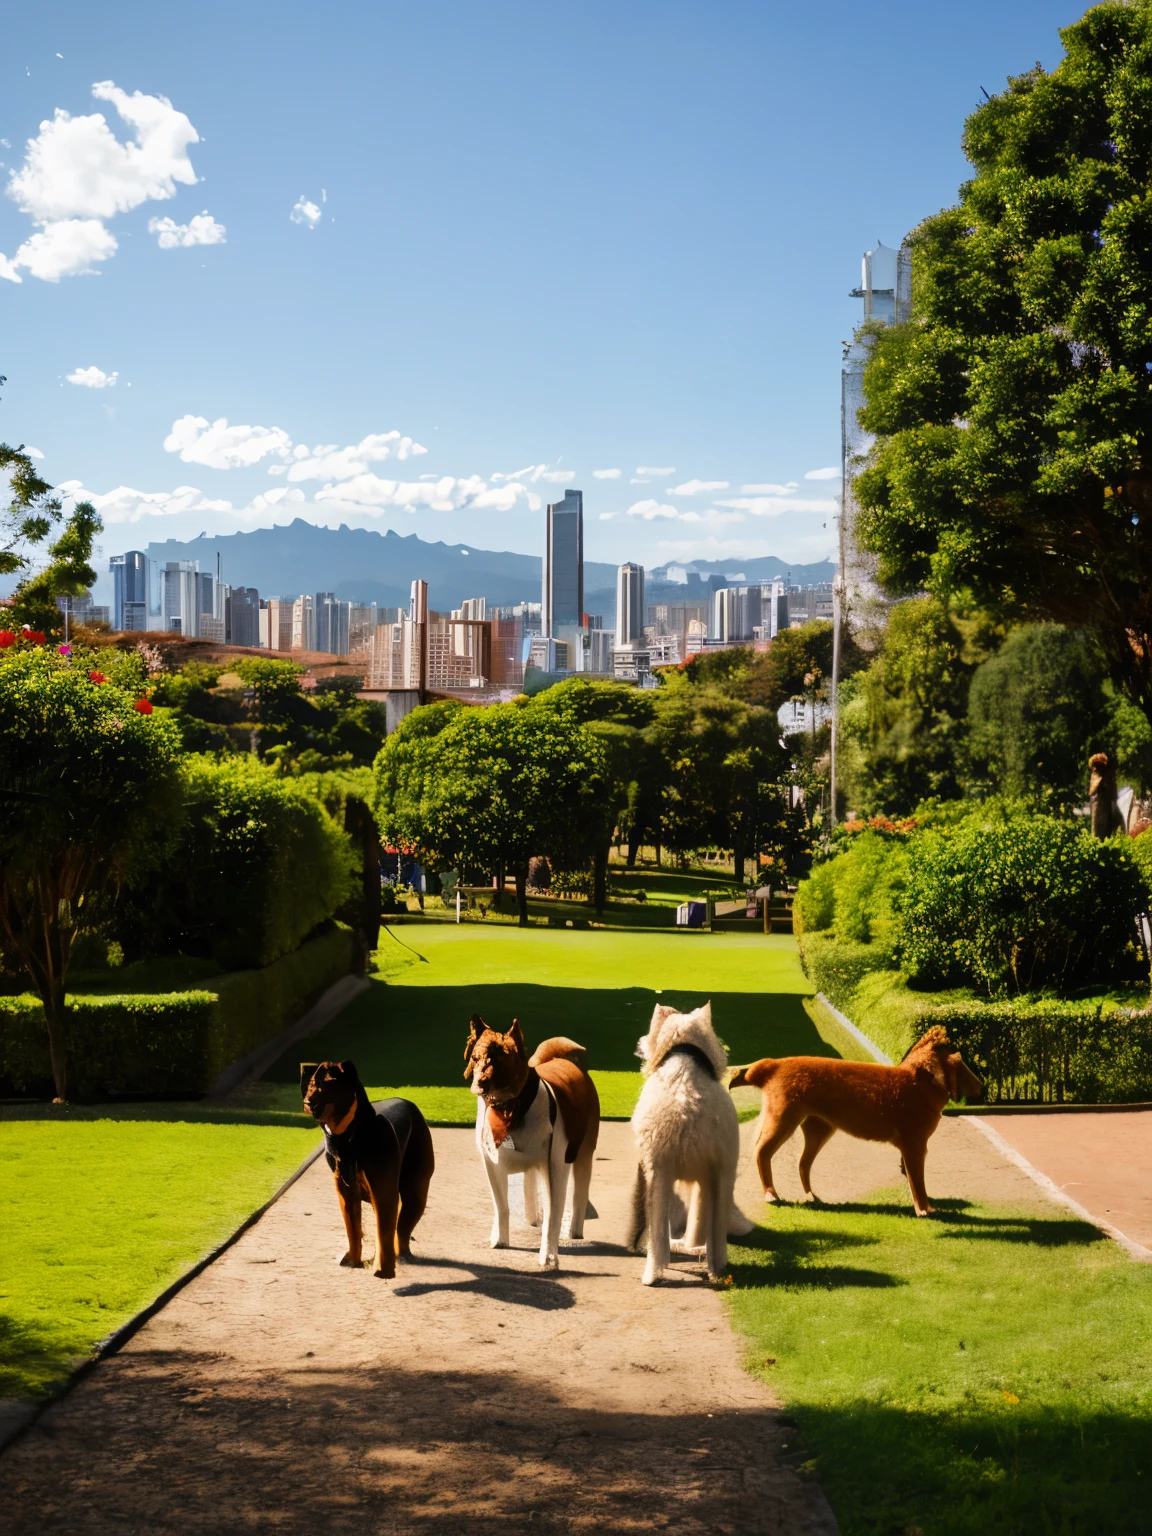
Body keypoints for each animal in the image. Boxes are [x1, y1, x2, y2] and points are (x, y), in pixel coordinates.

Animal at [299, 1062, 436, 1277]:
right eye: (311, 1083)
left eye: (328, 1082)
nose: (308, 1102)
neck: (348, 1136)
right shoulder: (345, 1191)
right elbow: (353, 1231)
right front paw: (353, 1261)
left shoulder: (383, 1189)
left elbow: (384, 1230)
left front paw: (382, 1269)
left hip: (416, 1192)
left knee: (403, 1228)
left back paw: (402, 1255)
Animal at [463, 1007, 599, 1271]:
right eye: (475, 1057)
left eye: (500, 1060)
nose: (480, 1083)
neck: (510, 1108)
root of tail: (566, 1060)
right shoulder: (491, 1163)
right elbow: (501, 1205)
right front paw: (499, 1237)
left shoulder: (555, 1167)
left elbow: (553, 1216)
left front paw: (549, 1255)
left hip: (583, 1154)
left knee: (580, 1192)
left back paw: (574, 1230)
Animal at [632, 995, 758, 1284]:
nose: (638, 1043)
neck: (683, 1060)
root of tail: (687, 1110)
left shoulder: (654, 1167)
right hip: (719, 1173)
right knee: (714, 1232)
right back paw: (714, 1266)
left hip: (662, 1174)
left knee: (659, 1233)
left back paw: (654, 1270)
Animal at [731, 1026, 983, 1216]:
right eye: (961, 1063)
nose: (981, 1085)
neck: (920, 1083)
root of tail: (773, 1065)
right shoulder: (914, 1145)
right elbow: (918, 1182)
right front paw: (923, 1210)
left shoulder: (912, 1147)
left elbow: (913, 1179)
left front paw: (926, 1208)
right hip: (784, 1118)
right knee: (762, 1151)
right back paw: (771, 1194)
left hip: (818, 1128)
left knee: (802, 1163)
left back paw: (812, 1197)